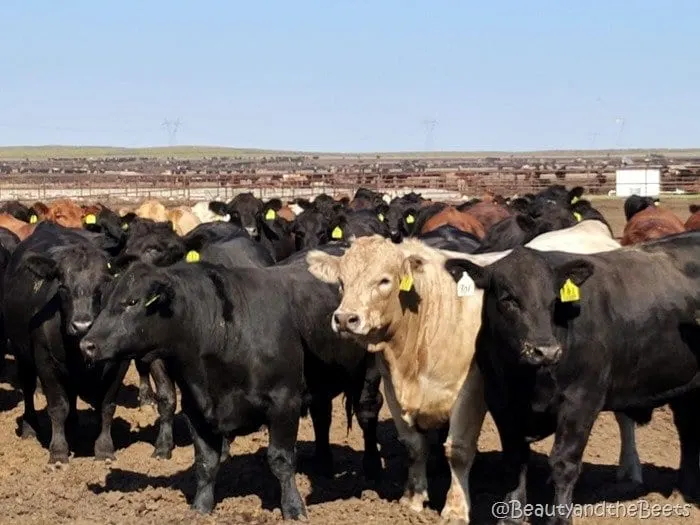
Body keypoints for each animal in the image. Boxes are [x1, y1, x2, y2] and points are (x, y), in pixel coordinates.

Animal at [3, 221, 129, 462]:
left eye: (103, 285)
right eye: (62, 286)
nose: (81, 325)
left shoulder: (120, 364)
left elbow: (107, 406)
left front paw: (105, 449)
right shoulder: (46, 362)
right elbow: (57, 407)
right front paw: (59, 452)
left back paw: (73, 427)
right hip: (21, 352)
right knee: (28, 387)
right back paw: (30, 428)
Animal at [81, 249, 382, 516]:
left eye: (132, 302)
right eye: (103, 300)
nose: (87, 345)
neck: (221, 332)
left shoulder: (284, 402)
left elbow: (281, 459)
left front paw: (293, 508)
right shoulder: (196, 406)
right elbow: (206, 462)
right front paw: (201, 508)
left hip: (369, 375)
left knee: (367, 414)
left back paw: (372, 467)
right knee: (322, 416)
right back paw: (323, 462)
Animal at [442, 234, 700, 524]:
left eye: (553, 301)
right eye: (509, 299)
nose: (545, 351)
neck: (526, 381)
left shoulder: (581, 401)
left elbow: (563, 463)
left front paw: (559, 517)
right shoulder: (500, 401)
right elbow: (515, 460)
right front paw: (511, 516)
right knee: (689, 432)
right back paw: (683, 492)